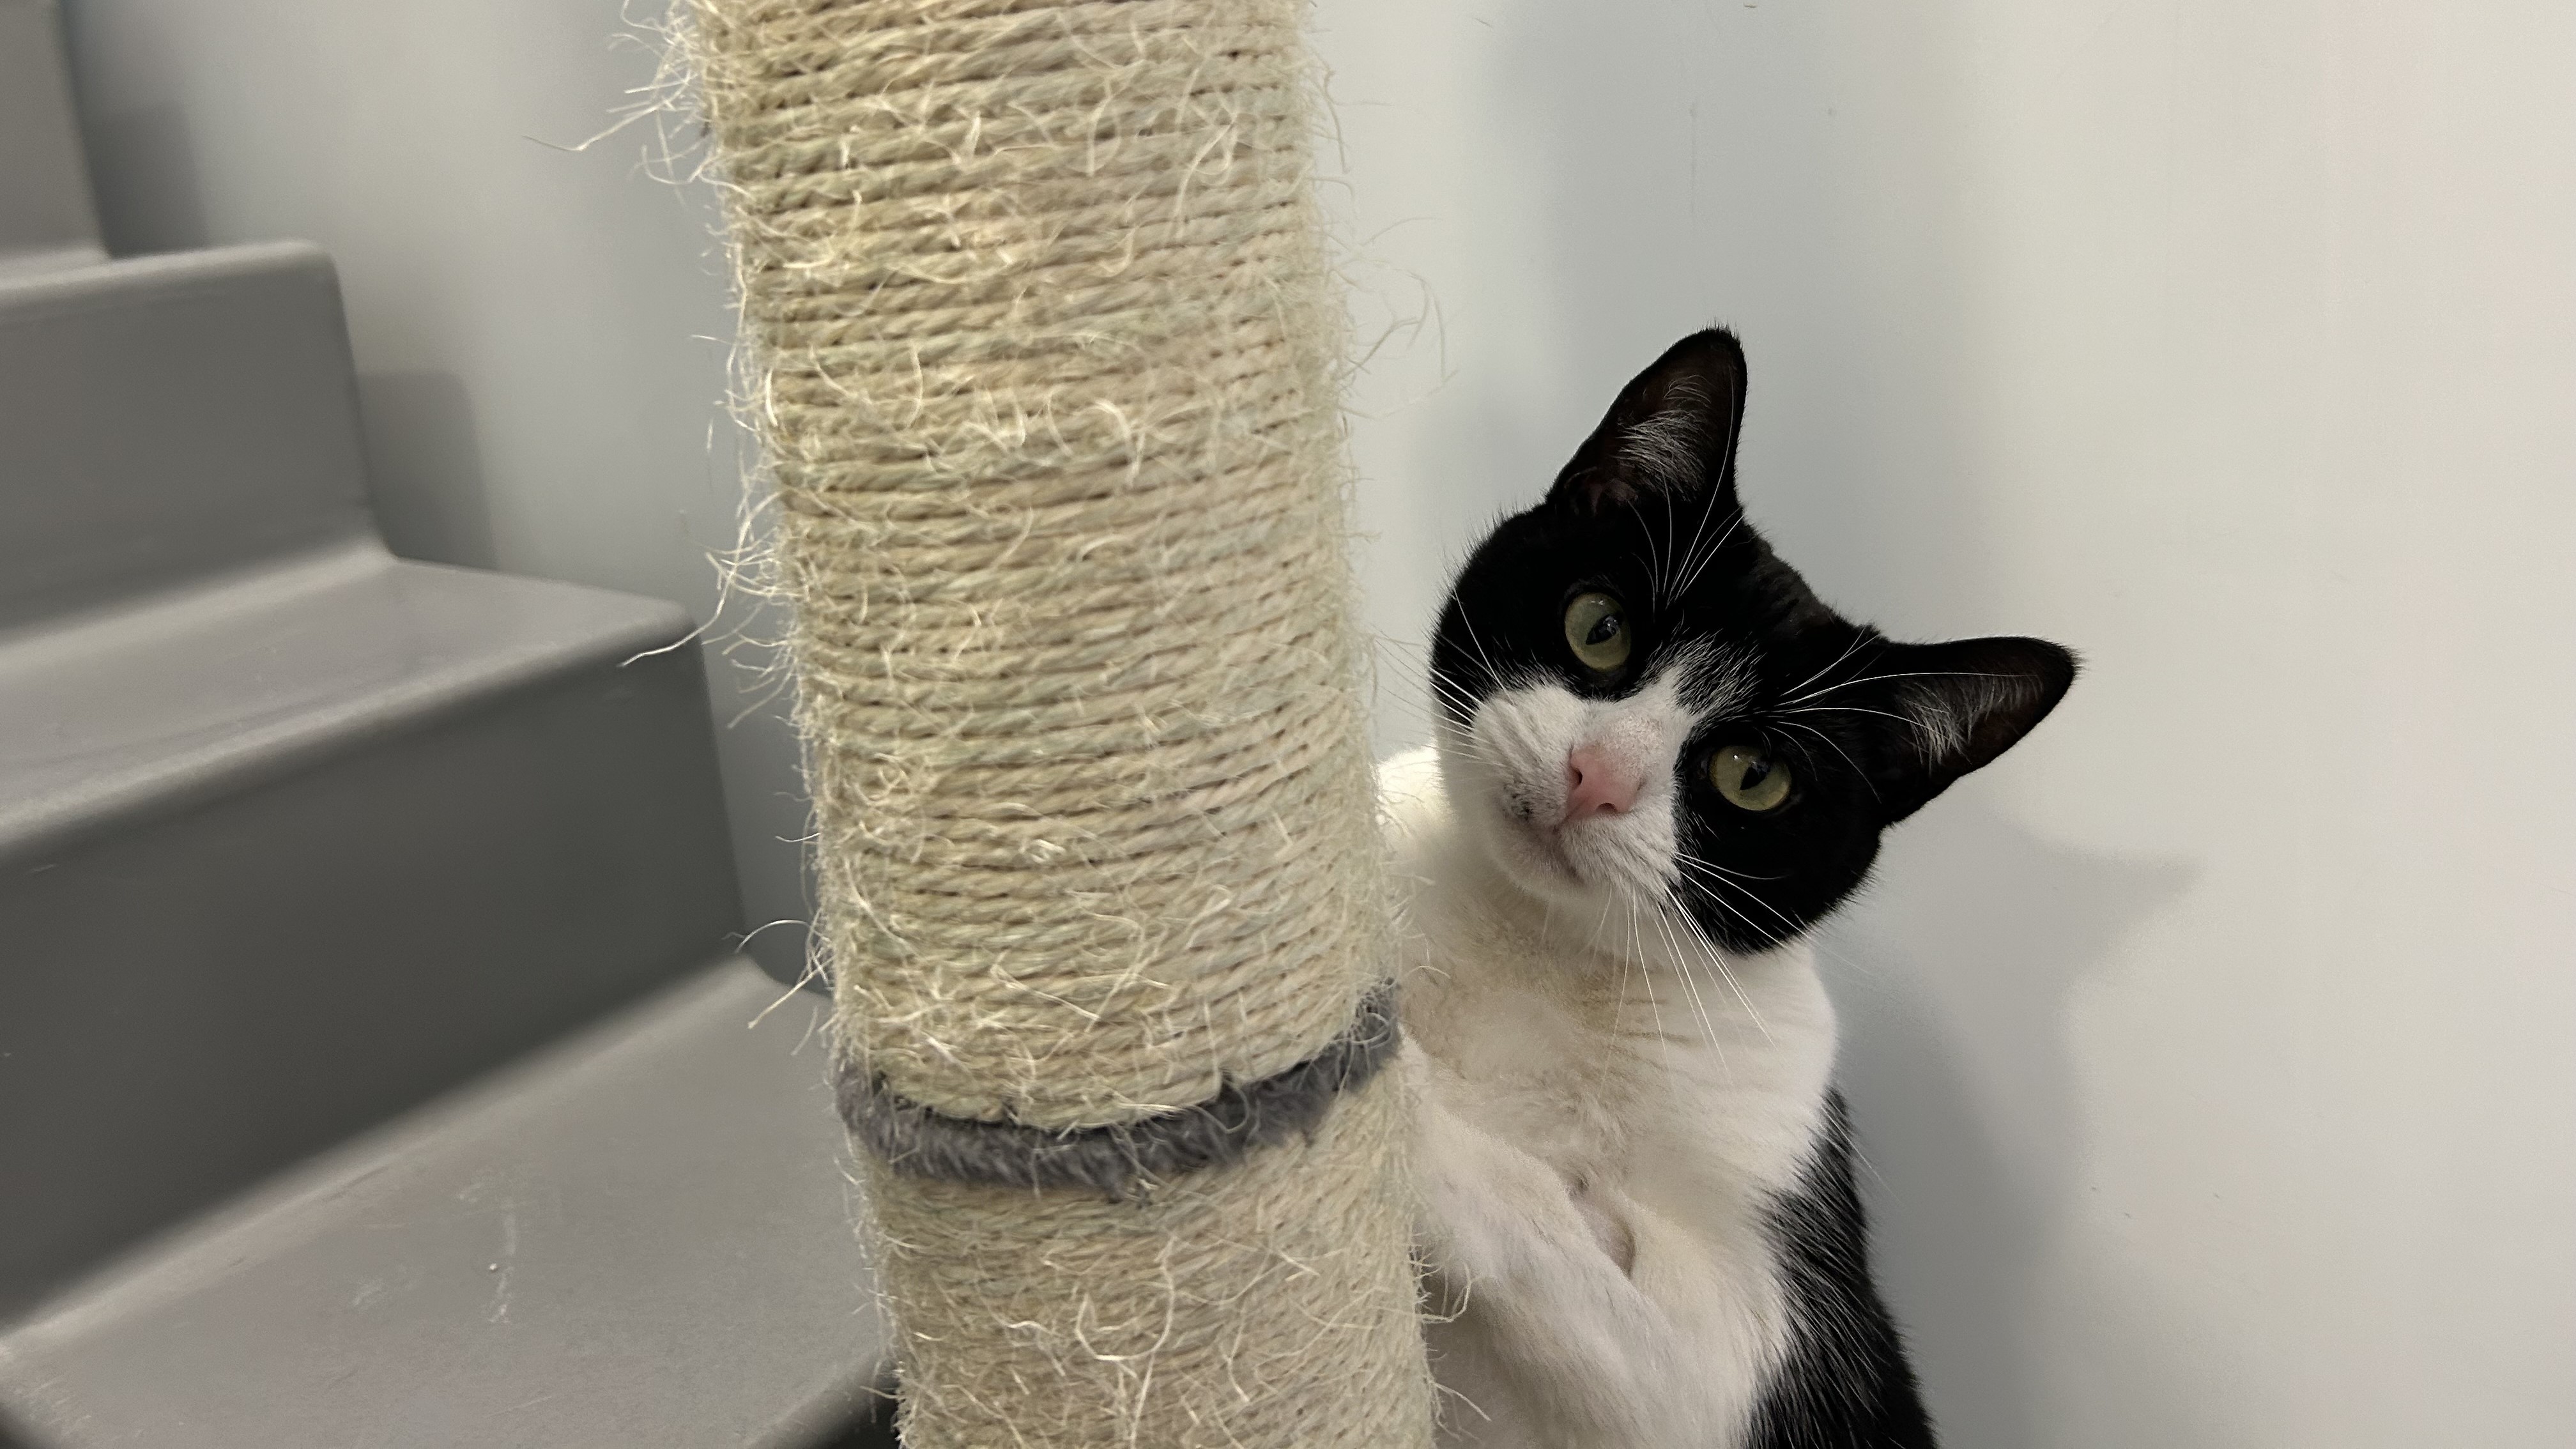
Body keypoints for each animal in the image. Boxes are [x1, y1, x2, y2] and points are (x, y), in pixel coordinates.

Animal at [1385, 327, 2074, 1449]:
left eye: (1754, 776)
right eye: (1599, 628)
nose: (1597, 778)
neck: (1536, 944)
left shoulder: (1766, 1338)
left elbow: (1545, 1224)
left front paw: (1373, 1093)